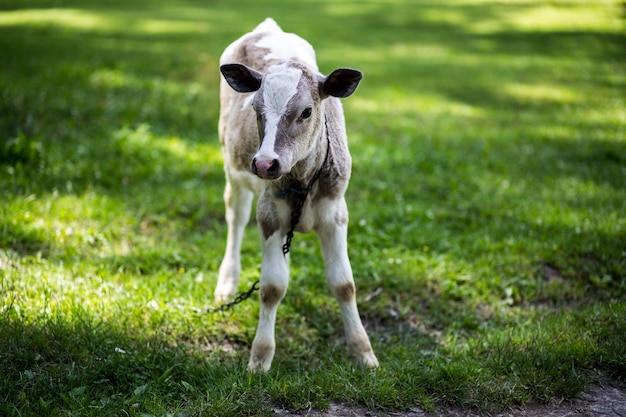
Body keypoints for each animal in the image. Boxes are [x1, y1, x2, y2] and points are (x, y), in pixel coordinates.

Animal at [214, 17, 378, 372]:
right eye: (256, 108)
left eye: (306, 112)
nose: (264, 163)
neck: (303, 180)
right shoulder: (269, 214)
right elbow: (272, 287)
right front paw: (260, 357)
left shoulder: (335, 211)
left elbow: (344, 284)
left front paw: (363, 352)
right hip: (232, 168)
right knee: (235, 218)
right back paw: (227, 283)